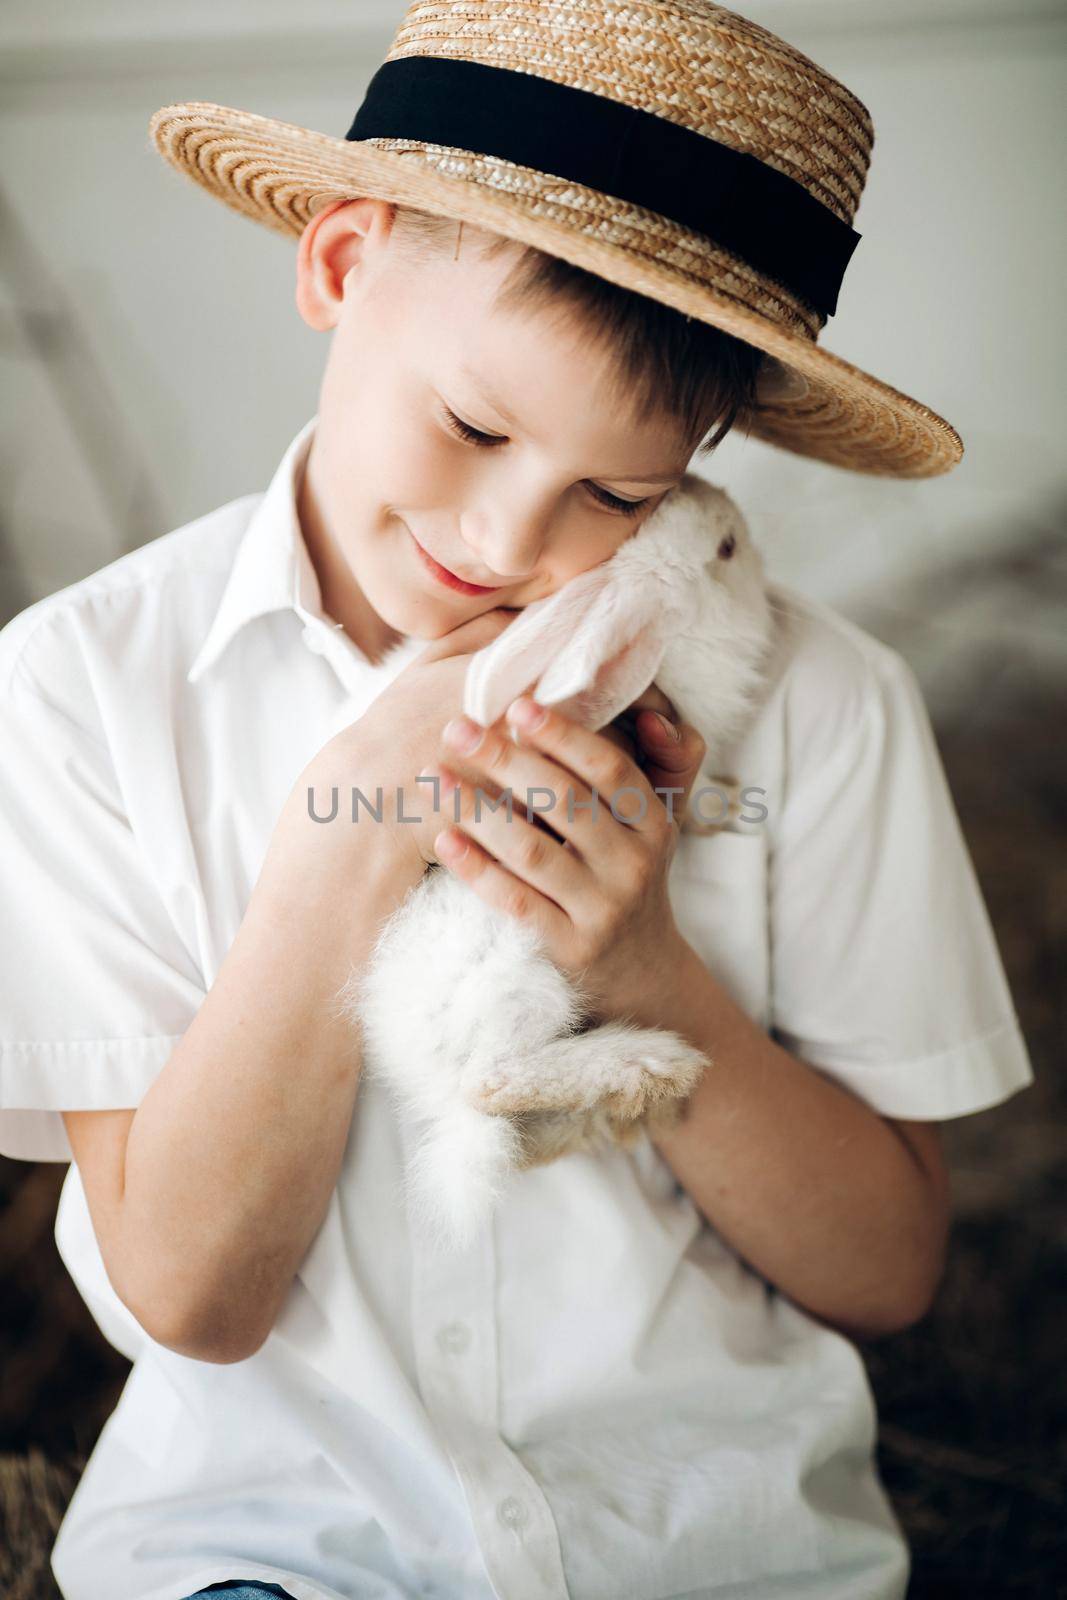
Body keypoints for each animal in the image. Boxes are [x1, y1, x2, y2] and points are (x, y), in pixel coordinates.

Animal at [342, 473, 777, 1248]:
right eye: (727, 549)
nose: (726, 505)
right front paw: (727, 804)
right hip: (522, 978)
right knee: (491, 1082)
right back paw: (653, 1066)